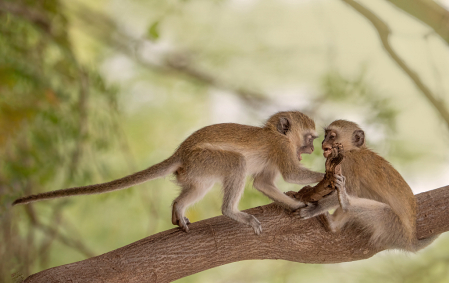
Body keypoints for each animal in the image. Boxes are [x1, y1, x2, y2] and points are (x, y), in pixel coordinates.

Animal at [13, 111, 322, 235]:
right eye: (309, 138)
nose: (311, 148)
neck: (277, 135)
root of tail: (180, 153)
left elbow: (263, 183)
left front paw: (297, 204)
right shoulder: (281, 148)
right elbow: (290, 174)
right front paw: (326, 177)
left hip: (196, 169)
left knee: (197, 188)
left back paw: (178, 207)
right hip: (204, 159)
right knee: (236, 164)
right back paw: (233, 213)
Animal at [300, 121, 436, 252]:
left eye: (332, 136)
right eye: (325, 135)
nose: (323, 142)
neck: (352, 150)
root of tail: (410, 239)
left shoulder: (348, 162)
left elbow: (352, 191)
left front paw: (316, 207)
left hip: (394, 227)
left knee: (384, 211)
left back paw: (345, 203)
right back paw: (333, 224)